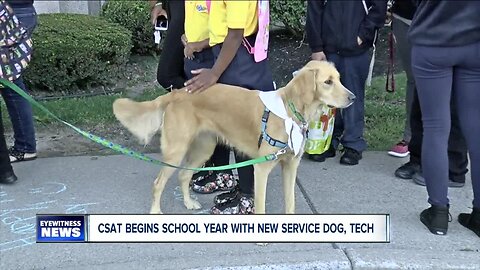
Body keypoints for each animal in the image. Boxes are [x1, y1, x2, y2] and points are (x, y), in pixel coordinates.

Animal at [111, 60, 352, 214]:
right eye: (328, 82)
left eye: (339, 79)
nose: (353, 97)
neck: (290, 112)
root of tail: (177, 92)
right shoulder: (261, 168)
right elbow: (261, 206)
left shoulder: (290, 166)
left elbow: (291, 202)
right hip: (176, 150)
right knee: (158, 183)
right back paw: (155, 213)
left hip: (203, 148)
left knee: (183, 175)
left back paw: (188, 203)